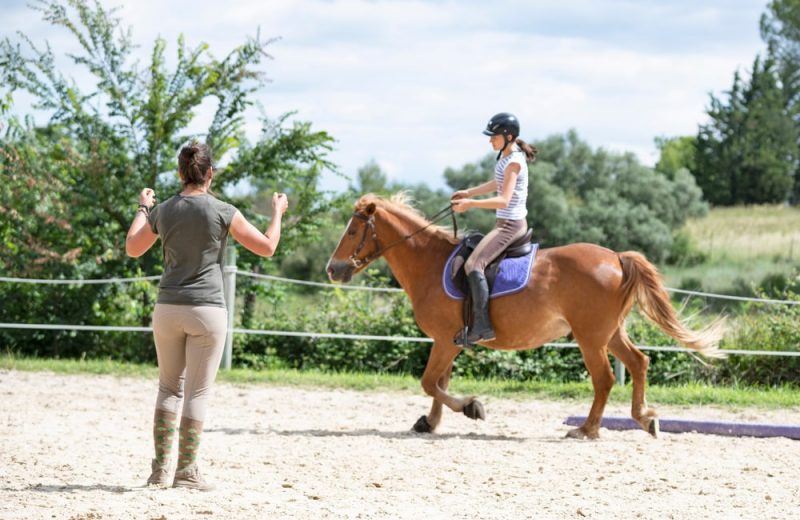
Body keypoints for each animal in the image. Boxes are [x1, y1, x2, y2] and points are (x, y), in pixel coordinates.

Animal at [324, 194, 724, 438]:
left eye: (353, 230)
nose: (332, 269)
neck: (430, 263)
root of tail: (616, 257)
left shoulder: (444, 340)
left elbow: (429, 382)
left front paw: (472, 408)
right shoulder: (448, 341)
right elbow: (439, 383)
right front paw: (430, 421)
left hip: (590, 337)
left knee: (605, 378)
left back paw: (587, 429)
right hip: (609, 333)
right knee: (639, 363)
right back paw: (645, 418)